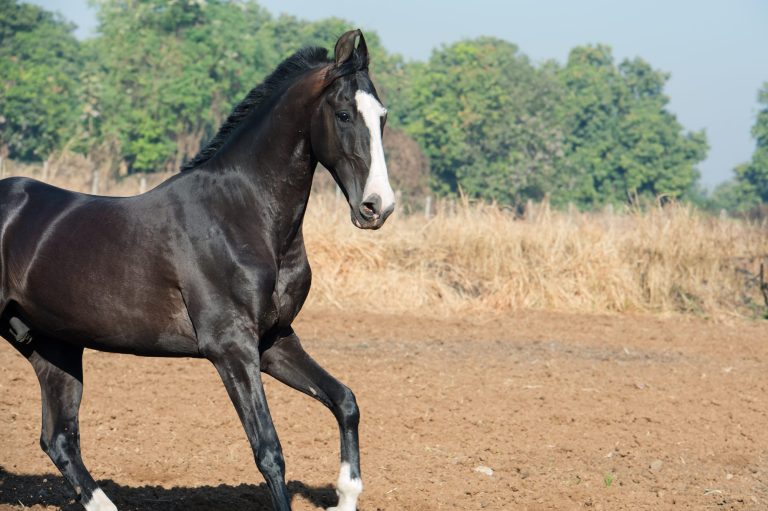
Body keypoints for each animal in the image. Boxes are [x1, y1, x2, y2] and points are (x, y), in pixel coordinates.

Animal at [0, 29, 394, 511]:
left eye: (382, 117)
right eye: (342, 113)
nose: (377, 207)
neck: (242, 215)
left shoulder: (273, 341)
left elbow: (344, 400)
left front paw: (346, 494)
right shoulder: (230, 348)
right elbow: (269, 450)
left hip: (54, 347)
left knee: (59, 439)